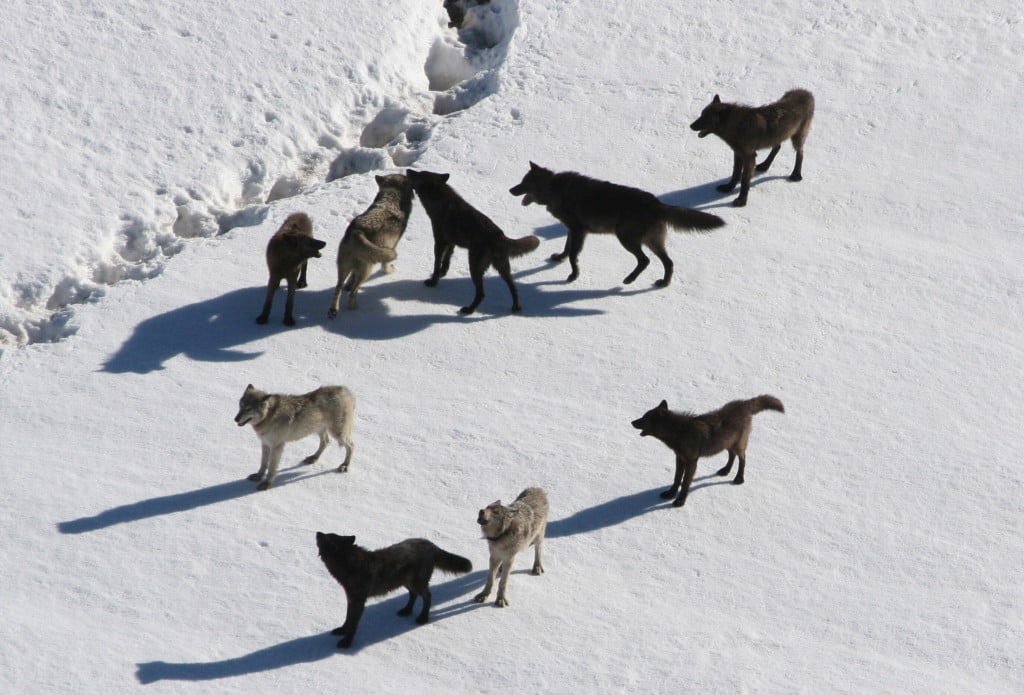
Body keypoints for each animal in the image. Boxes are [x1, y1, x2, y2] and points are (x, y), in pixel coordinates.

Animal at [315, 532, 471, 650]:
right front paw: (342, 631)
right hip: (406, 583)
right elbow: (347, 619)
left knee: (428, 596)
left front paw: (346, 643)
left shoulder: (358, 601)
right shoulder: (351, 598)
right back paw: (406, 611)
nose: (317, 532)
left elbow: (353, 623)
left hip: (416, 583)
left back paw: (422, 618)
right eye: (328, 534)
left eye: (324, 537)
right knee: (414, 595)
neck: (351, 565)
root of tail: (431, 544)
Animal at [403, 168, 540, 315]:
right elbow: (446, 262)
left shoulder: (440, 242)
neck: (440, 201)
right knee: (513, 287)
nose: (407, 170)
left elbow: (436, 263)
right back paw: (516, 307)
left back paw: (469, 310)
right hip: (502, 268)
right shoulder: (451, 243)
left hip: (475, 266)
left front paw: (433, 281)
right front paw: (442, 274)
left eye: (418, 174)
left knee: (481, 293)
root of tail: (499, 236)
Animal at [507, 162, 724, 284]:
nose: (510, 190)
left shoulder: (578, 231)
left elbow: (574, 256)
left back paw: (629, 279)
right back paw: (663, 283)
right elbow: (567, 249)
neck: (554, 189)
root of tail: (657, 203)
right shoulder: (572, 230)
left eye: (523, 183)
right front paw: (559, 258)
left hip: (625, 238)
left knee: (645, 260)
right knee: (668, 262)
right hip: (652, 242)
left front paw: (573, 276)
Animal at [626, 397, 786, 505]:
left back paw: (739, 479)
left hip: (737, 445)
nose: (632, 422)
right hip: (726, 444)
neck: (679, 432)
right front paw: (670, 494)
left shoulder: (692, 461)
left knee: (743, 459)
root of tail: (744, 403)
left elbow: (685, 482)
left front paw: (680, 501)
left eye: (644, 418)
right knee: (732, 456)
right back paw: (725, 471)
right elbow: (677, 479)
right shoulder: (680, 458)